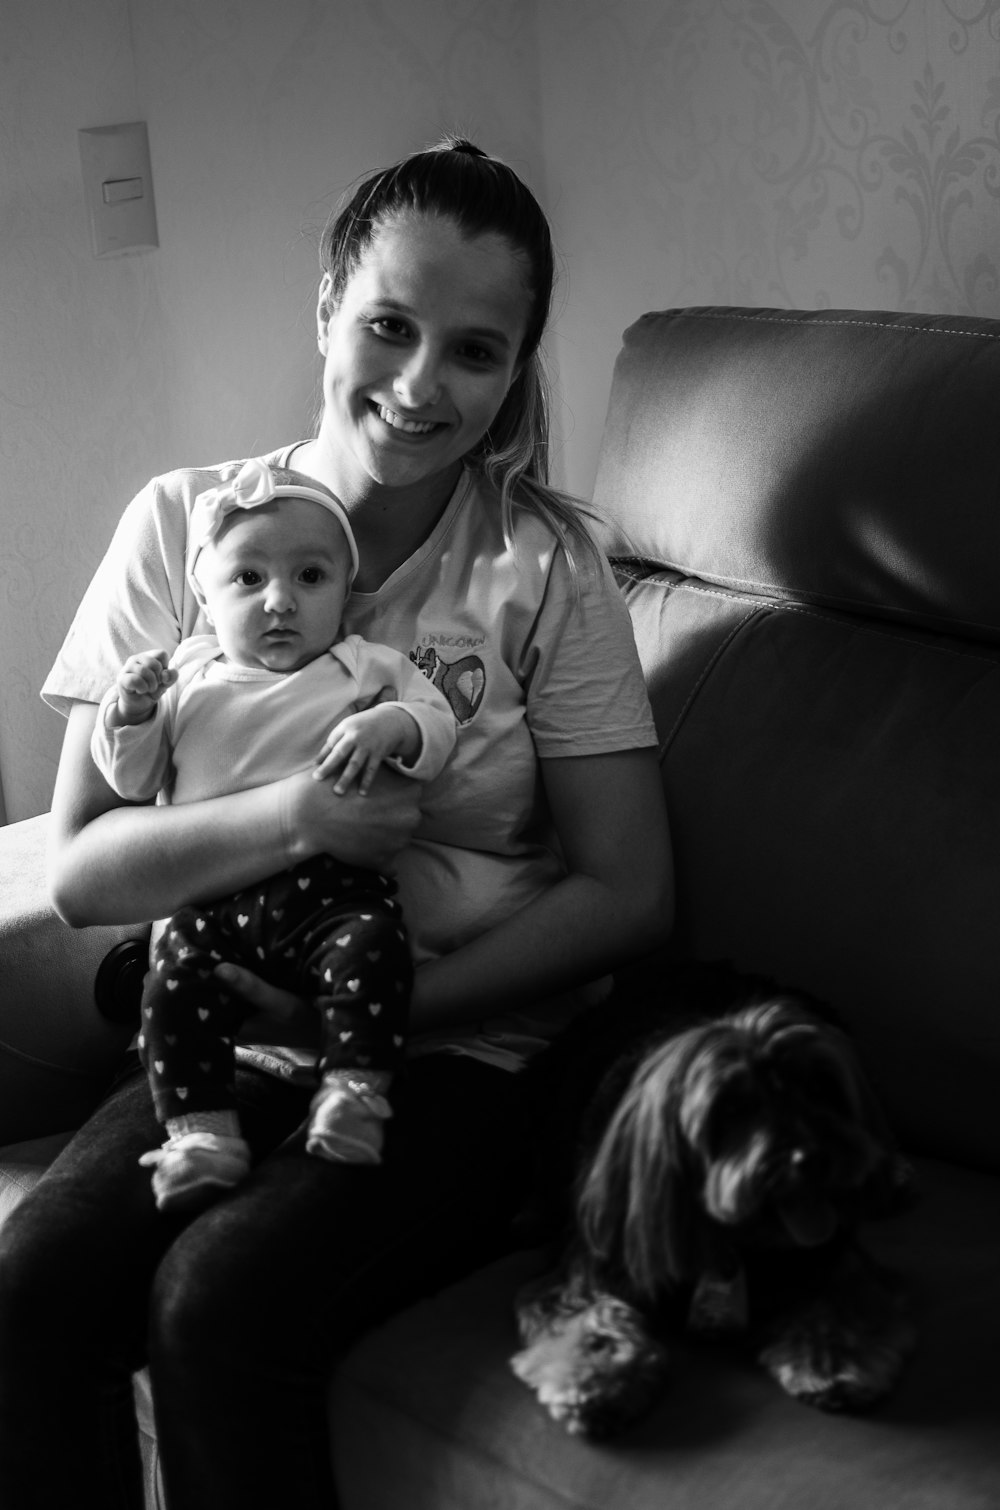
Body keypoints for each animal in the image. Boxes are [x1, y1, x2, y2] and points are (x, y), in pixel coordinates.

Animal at [513, 966, 918, 1437]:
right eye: (733, 1108)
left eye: (820, 1087)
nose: (815, 1158)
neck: (729, 1238)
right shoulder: (589, 1263)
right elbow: (585, 1314)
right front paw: (596, 1381)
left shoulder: (829, 1253)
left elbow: (840, 1293)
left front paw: (832, 1360)